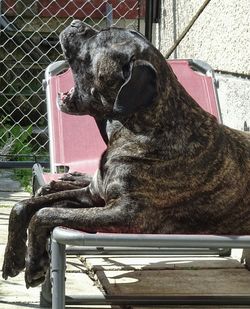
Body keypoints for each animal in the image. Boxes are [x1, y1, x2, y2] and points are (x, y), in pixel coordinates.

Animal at [2, 20, 250, 288]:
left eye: (99, 39)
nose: (76, 23)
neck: (140, 127)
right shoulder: (93, 196)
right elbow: (23, 206)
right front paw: (13, 259)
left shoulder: (126, 215)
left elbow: (43, 213)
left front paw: (34, 264)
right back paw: (65, 179)